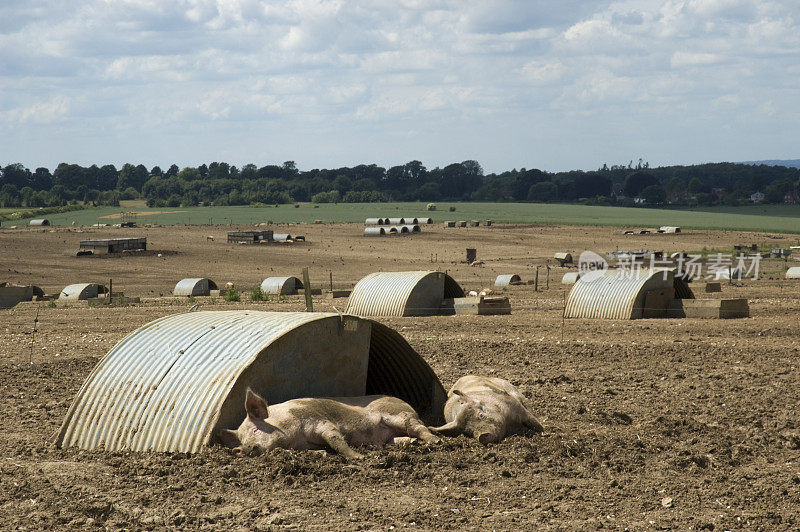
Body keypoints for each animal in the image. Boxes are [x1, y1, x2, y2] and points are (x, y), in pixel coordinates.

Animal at [216, 388, 440, 460]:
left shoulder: (320, 421)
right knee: (401, 438)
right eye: (241, 438)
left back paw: (435, 442)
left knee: (419, 427)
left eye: (255, 429)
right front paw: (323, 454)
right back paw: (412, 444)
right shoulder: (302, 445)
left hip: (399, 415)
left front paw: (358, 457)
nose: (241, 449)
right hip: (391, 434)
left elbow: (335, 439)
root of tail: (405, 402)